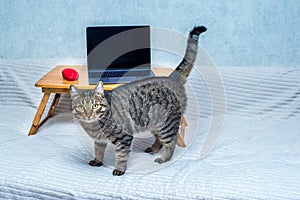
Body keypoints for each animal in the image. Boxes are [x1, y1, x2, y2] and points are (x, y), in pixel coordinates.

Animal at [70, 25, 206, 176]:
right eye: (81, 107)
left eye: (95, 106)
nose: (88, 114)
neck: (94, 126)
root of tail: (171, 78)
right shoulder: (99, 141)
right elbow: (98, 151)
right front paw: (98, 161)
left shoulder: (124, 138)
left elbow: (121, 156)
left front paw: (119, 169)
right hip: (154, 123)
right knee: (159, 139)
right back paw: (153, 148)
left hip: (166, 124)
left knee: (172, 140)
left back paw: (164, 158)